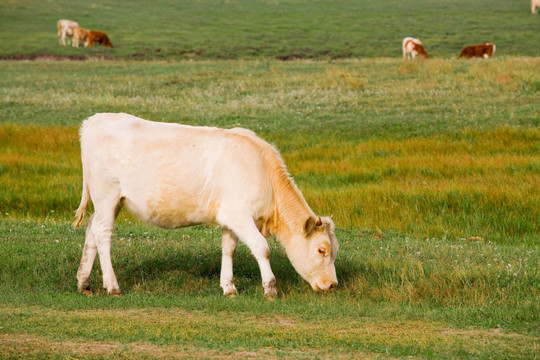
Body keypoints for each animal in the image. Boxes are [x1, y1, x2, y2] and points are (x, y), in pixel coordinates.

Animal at [74, 114, 340, 300]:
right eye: (321, 250)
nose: (332, 285)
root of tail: (95, 120)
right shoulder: (240, 215)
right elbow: (261, 248)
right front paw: (270, 289)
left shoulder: (230, 218)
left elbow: (228, 249)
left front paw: (229, 287)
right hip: (107, 195)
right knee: (103, 233)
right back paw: (112, 286)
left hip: (111, 201)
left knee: (92, 229)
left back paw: (84, 283)